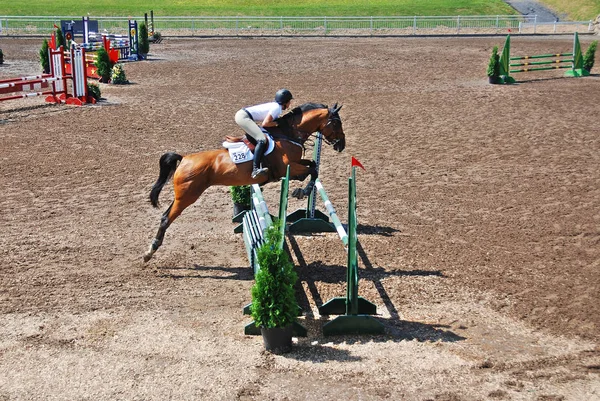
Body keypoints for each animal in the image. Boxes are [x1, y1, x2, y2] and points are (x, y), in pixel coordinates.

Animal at [142, 101, 344, 260]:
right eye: (336, 123)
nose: (342, 145)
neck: (288, 134)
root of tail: (184, 159)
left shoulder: (295, 164)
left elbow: (312, 165)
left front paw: (301, 190)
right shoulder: (288, 168)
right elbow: (312, 171)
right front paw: (301, 191)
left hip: (182, 196)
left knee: (165, 215)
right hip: (187, 196)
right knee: (166, 218)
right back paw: (150, 251)